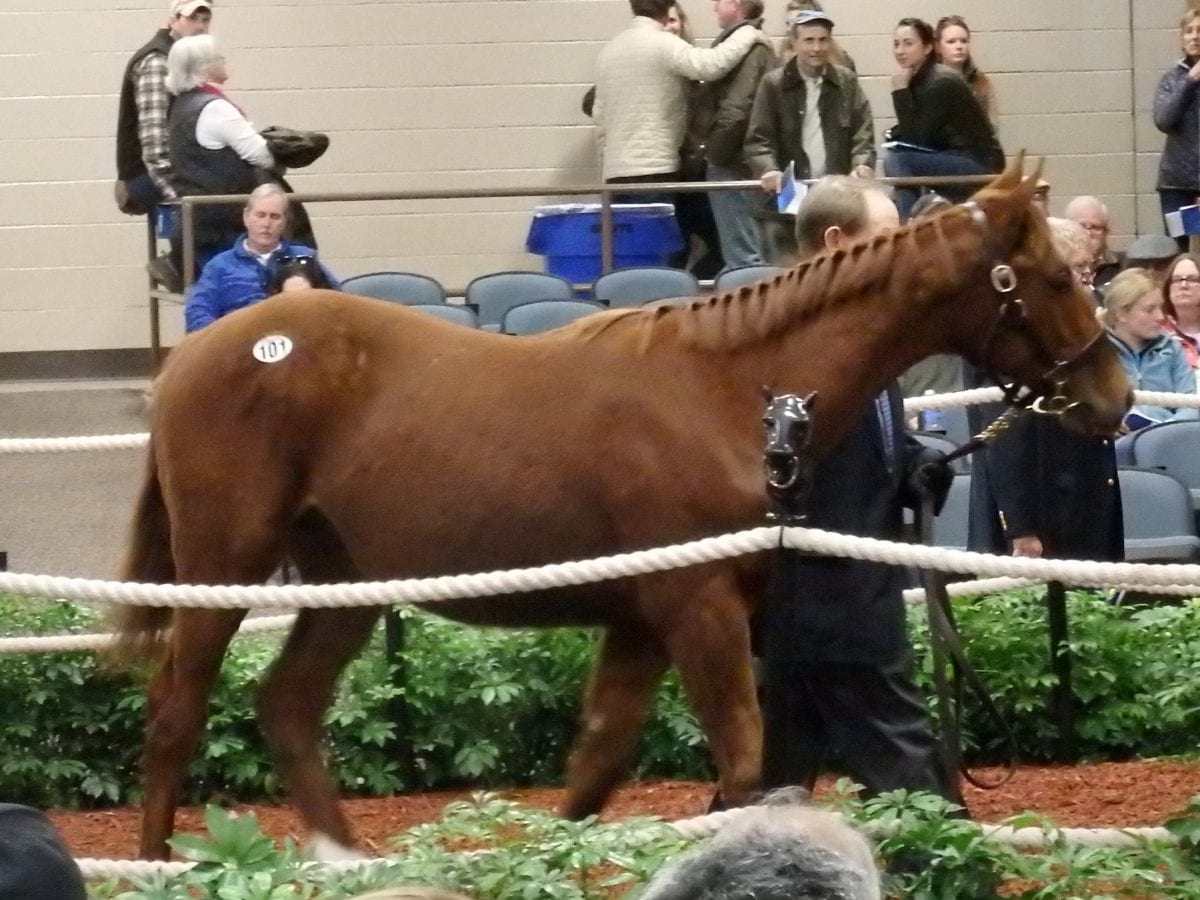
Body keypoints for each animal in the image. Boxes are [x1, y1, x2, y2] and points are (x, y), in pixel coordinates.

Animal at [108, 162, 1128, 859]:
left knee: (285, 707)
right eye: (1053, 276)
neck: (727, 388)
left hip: (345, 581)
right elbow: (740, 762)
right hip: (224, 565)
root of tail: (195, 356)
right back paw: (165, 863)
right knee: (175, 713)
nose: (1113, 397)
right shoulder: (697, 607)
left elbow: (598, 766)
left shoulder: (647, 618)